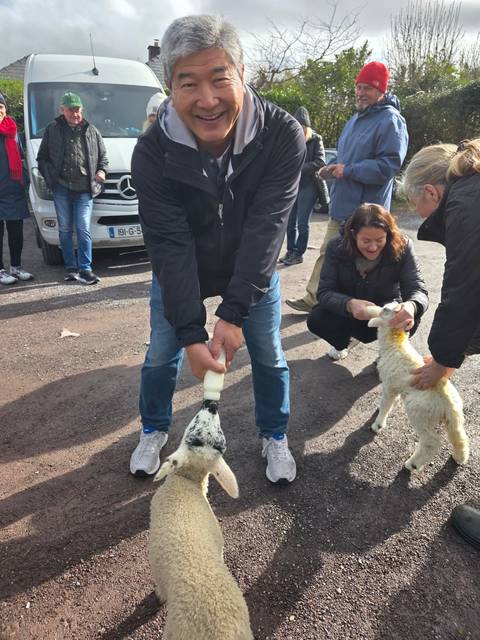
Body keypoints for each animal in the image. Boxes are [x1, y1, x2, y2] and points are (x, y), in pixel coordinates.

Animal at [149, 401, 254, 640]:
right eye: (197, 439)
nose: (212, 404)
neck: (187, 482)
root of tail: (222, 632)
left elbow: (159, 586)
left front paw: (158, 595)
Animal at [367, 302, 469, 471]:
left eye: (385, 310)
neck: (394, 342)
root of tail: (448, 403)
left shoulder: (389, 385)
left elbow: (386, 404)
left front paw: (378, 424)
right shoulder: (395, 385)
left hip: (419, 412)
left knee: (431, 442)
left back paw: (412, 464)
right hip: (454, 419)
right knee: (459, 436)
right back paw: (460, 457)